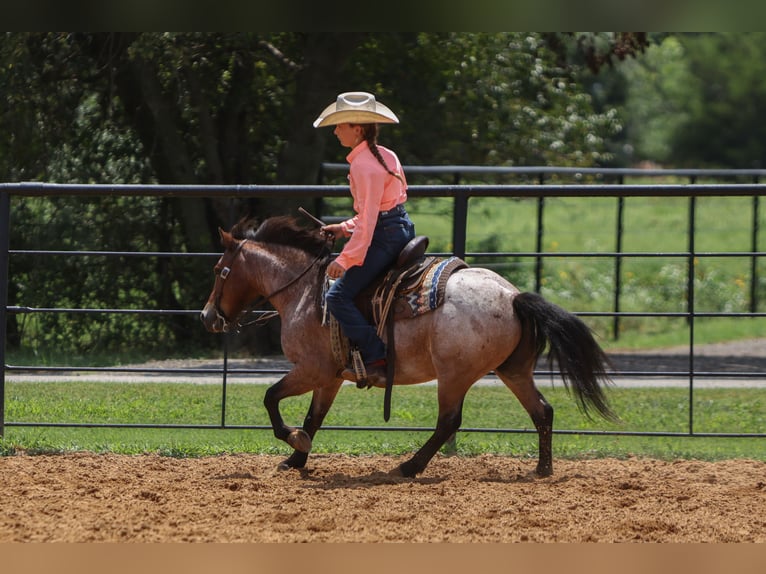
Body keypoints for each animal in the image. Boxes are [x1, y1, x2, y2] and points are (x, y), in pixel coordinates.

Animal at [200, 215, 618, 478]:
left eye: (220, 270)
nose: (207, 316)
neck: (305, 292)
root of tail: (513, 296)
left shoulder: (311, 370)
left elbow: (271, 398)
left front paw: (294, 443)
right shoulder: (329, 376)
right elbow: (313, 418)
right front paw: (296, 461)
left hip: (455, 374)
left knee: (449, 421)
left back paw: (409, 467)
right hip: (513, 370)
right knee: (542, 411)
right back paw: (542, 470)